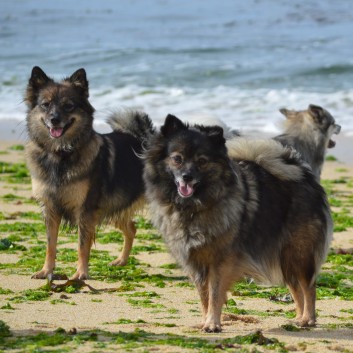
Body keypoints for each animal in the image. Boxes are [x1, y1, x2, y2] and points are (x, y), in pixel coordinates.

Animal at [24, 66, 152, 280]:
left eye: (68, 106)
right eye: (45, 105)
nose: (54, 120)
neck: (61, 154)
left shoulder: (85, 210)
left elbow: (82, 245)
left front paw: (80, 274)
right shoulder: (50, 209)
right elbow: (50, 245)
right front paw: (46, 271)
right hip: (114, 205)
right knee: (132, 228)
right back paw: (121, 260)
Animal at [142, 114, 332, 332]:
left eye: (201, 161)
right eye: (177, 159)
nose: (186, 177)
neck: (195, 207)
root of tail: (305, 176)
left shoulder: (220, 261)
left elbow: (215, 294)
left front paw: (212, 324)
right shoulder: (196, 264)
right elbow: (204, 296)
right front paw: (206, 321)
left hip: (298, 253)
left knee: (309, 287)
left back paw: (308, 319)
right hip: (284, 257)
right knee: (296, 288)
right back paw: (298, 319)